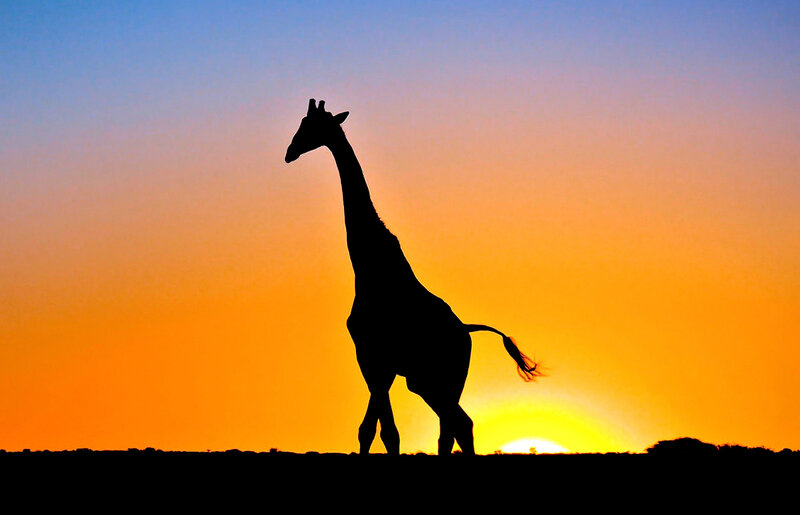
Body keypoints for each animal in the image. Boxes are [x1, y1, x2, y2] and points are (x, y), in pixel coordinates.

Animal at [284, 99, 541, 455]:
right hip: (432, 381)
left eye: (311, 125)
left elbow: (383, 431)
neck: (369, 265)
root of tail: (466, 331)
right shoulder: (381, 363)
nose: (290, 151)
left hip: (435, 379)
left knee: (458, 424)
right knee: (455, 426)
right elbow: (372, 430)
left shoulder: (373, 355)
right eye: (302, 123)